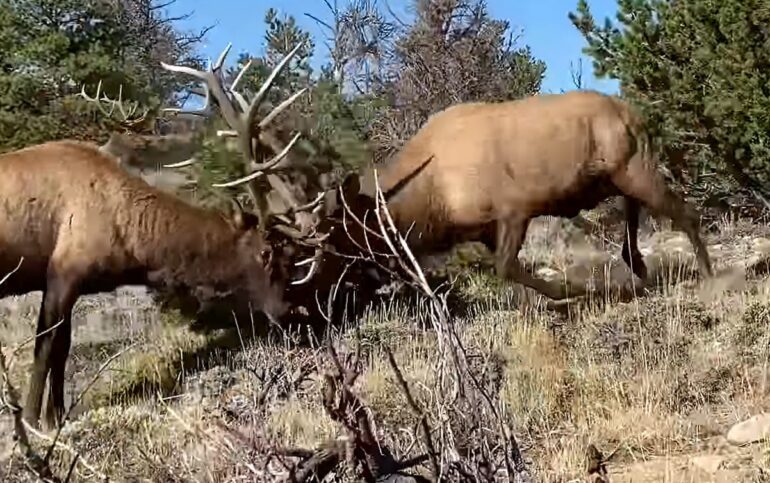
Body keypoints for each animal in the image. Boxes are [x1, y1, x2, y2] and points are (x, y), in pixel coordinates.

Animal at [0, 42, 322, 431]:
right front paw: (32, 421)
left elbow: (62, 348)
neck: (130, 246)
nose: (287, 311)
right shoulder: (63, 271)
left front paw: (57, 415)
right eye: (266, 253)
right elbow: (44, 347)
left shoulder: (70, 281)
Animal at [325, 89, 714, 300]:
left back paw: (709, 274)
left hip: (632, 166)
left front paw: (574, 293)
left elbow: (506, 267)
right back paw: (638, 263)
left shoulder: (515, 209)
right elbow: (507, 267)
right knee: (637, 208)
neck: (432, 202)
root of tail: (636, 116)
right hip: (615, 176)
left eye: (344, 228)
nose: (337, 281)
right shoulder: (484, 229)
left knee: (684, 211)